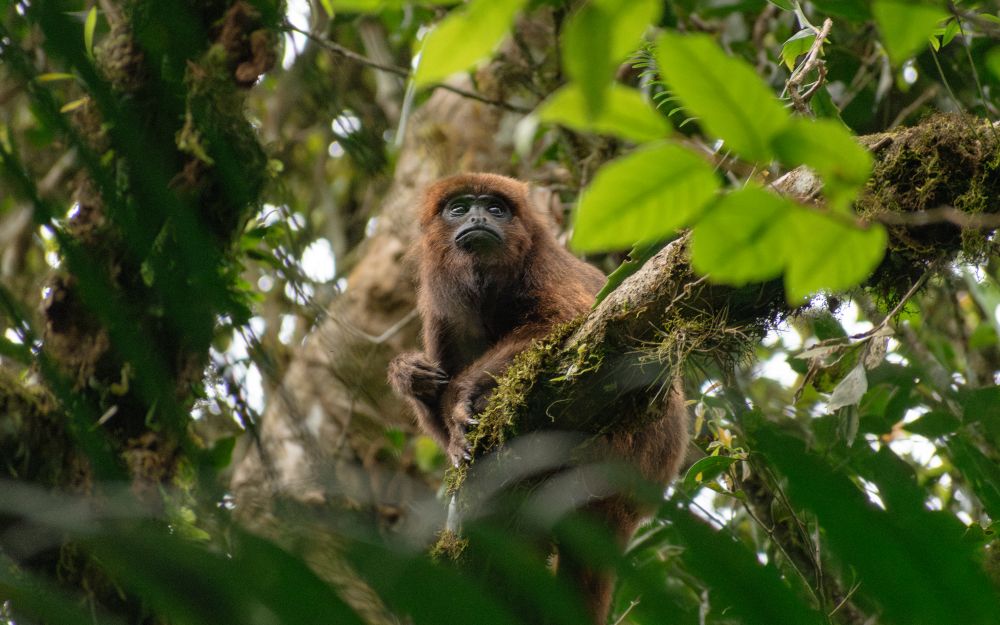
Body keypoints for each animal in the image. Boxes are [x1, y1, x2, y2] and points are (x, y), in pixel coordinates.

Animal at [388, 173, 688, 624]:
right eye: (459, 208)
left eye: (496, 209)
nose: (478, 217)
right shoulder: (440, 306)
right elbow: (435, 414)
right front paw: (409, 375)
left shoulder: (544, 263)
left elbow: (561, 323)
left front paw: (460, 399)